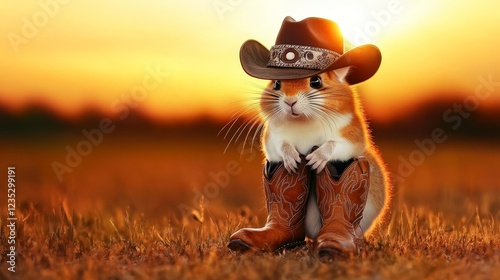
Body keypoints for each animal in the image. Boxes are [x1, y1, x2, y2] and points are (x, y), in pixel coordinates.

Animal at [260, 66, 392, 238]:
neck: (303, 120)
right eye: (276, 83)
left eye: (316, 81)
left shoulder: (352, 137)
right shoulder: (271, 140)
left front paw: (316, 159)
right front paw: (292, 160)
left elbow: (333, 144)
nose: (290, 101)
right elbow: (282, 144)